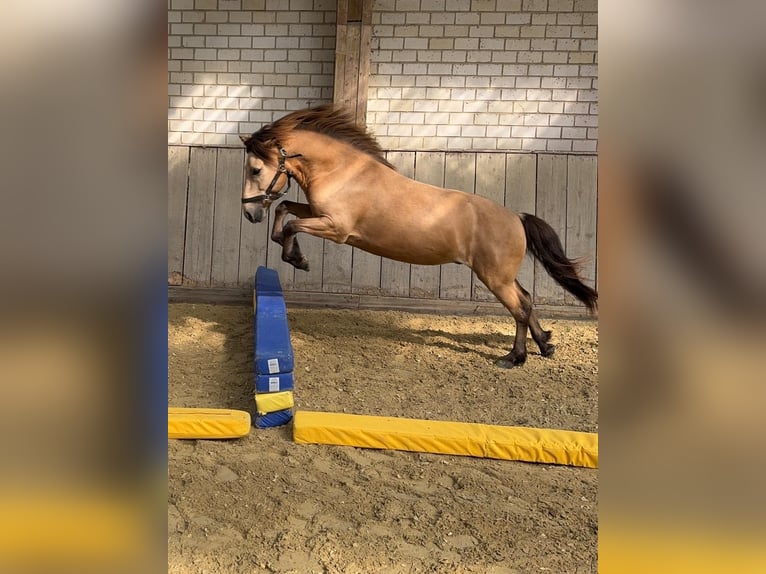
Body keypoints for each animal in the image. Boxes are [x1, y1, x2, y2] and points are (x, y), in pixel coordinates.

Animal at [239, 105, 597, 368]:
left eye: (255, 169)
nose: (249, 213)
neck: (344, 173)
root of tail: (517, 218)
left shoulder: (336, 228)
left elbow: (290, 225)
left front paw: (297, 259)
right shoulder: (315, 212)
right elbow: (284, 209)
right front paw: (289, 249)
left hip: (494, 277)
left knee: (520, 308)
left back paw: (514, 358)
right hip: (502, 276)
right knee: (527, 299)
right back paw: (545, 345)